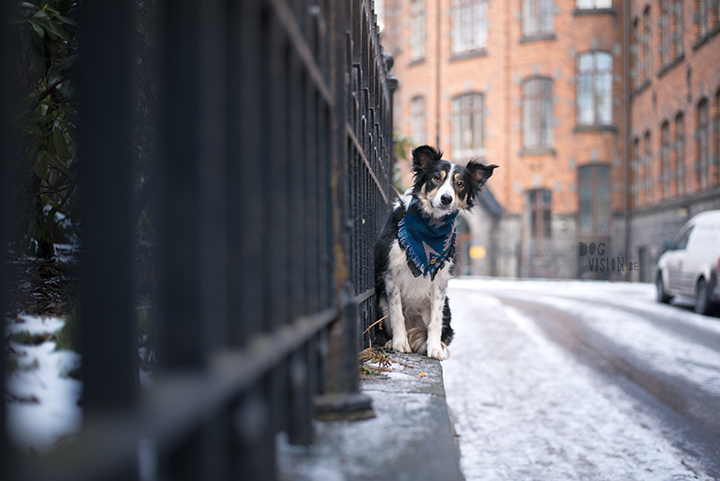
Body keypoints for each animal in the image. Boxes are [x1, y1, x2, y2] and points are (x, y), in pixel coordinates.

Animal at [374, 144, 498, 358]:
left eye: (460, 184)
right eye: (436, 178)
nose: (446, 198)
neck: (431, 224)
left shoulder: (440, 281)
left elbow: (435, 321)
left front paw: (433, 349)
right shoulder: (391, 274)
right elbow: (397, 313)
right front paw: (400, 343)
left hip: (447, 307)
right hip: (381, 299)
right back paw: (393, 341)